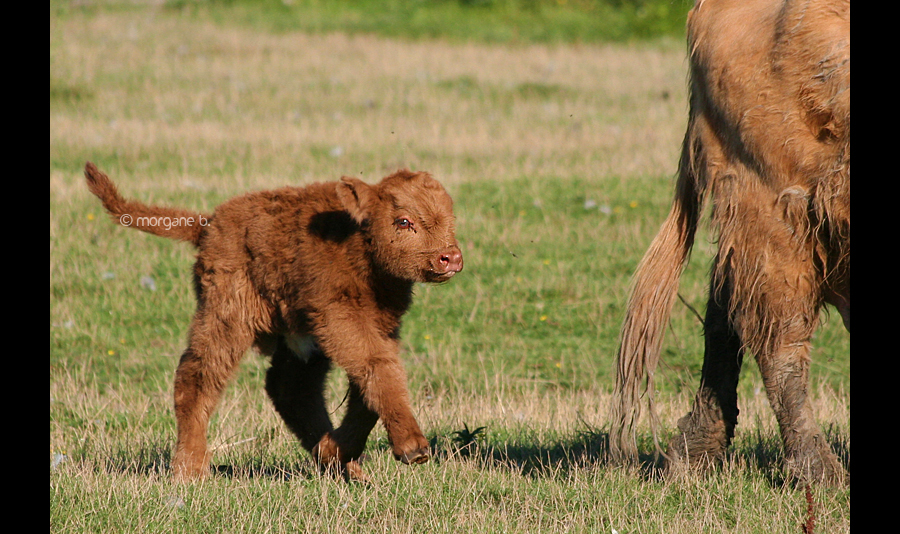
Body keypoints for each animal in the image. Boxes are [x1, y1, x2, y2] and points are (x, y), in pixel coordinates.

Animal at [84, 162, 464, 482]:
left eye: (451, 218)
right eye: (403, 221)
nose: (450, 257)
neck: (356, 245)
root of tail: (208, 223)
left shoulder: (379, 326)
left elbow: (368, 386)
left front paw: (340, 450)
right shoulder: (341, 320)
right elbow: (377, 368)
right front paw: (414, 448)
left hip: (296, 335)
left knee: (290, 389)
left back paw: (340, 464)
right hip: (226, 317)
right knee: (197, 377)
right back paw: (189, 469)